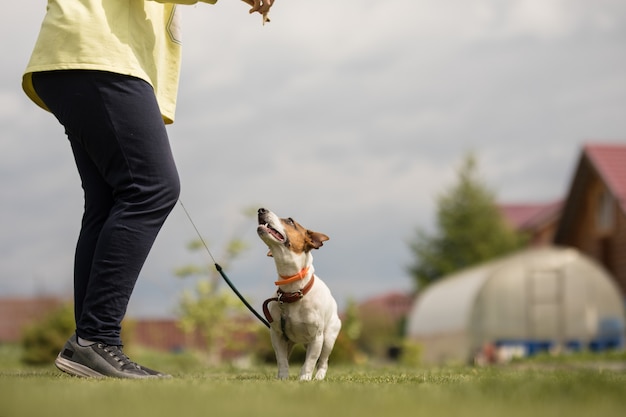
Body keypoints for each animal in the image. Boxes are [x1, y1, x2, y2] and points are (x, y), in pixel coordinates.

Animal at [255, 208, 342, 380]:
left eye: (290, 221)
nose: (261, 209)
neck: (294, 290)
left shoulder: (317, 338)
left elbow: (310, 361)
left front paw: (304, 378)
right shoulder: (277, 335)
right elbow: (282, 360)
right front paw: (282, 378)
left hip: (329, 338)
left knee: (323, 361)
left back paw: (319, 376)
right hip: (290, 342)